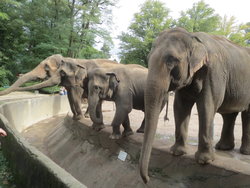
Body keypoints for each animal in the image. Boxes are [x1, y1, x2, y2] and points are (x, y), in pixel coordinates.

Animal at [140, 27, 250, 183]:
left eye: (171, 60)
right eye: (148, 59)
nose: (147, 179)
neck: (193, 38)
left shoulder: (213, 72)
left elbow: (206, 106)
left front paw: (204, 161)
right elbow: (180, 107)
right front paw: (176, 152)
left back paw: (244, 152)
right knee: (229, 114)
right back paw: (223, 148)